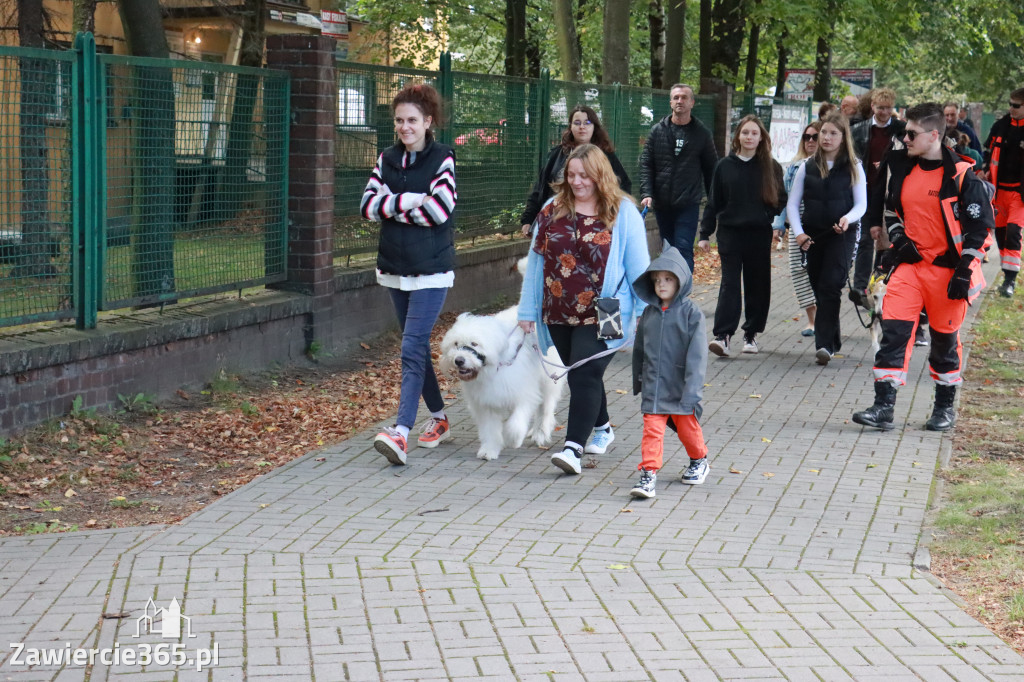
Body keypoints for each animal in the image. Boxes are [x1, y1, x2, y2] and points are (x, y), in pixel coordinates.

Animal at [440, 305, 569, 458]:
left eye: (474, 344)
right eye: (456, 344)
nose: (459, 360)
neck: (494, 367)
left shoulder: (524, 394)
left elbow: (516, 423)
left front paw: (513, 439)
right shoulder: (487, 402)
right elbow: (490, 429)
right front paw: (489, 450)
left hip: (548, 379)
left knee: (546, 407)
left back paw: (541, 432)